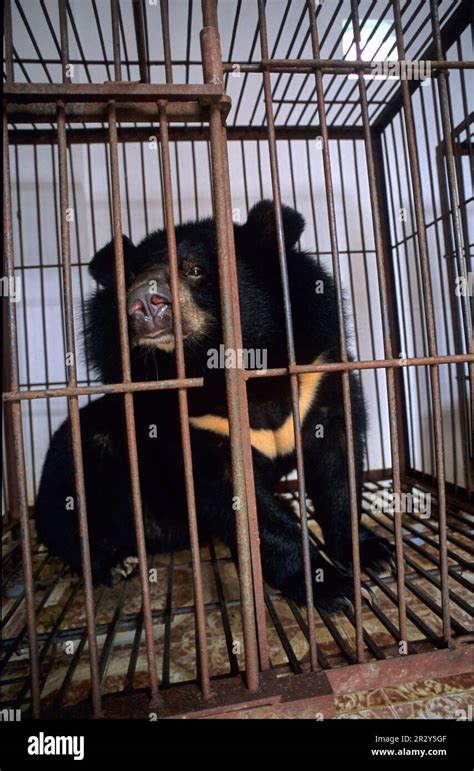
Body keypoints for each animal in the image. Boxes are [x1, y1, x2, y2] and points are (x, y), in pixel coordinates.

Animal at [36, 202, 386, 612]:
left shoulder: (318, 373)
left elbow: (338, 468)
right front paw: (332, 587)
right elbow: (242, 505)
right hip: (80, 455)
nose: (144, 301)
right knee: (71, 511)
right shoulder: (188, 421)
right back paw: (115, 562)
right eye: (131, 277)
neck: (224, 364)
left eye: (196, 271)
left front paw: (371, 554)